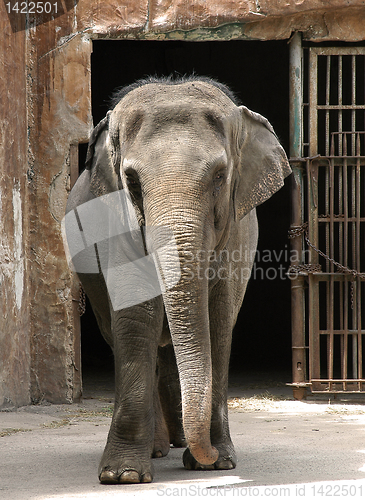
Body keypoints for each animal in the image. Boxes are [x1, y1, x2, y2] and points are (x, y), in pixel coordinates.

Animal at [63, 75, 290, 484]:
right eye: (131, 181)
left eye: (219, 176)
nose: (209, 452)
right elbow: (136, 316)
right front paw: (123, 475)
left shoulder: (236, 236)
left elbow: (218, 320)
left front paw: (217, 463)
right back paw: (159, 448)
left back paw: (181, 442)